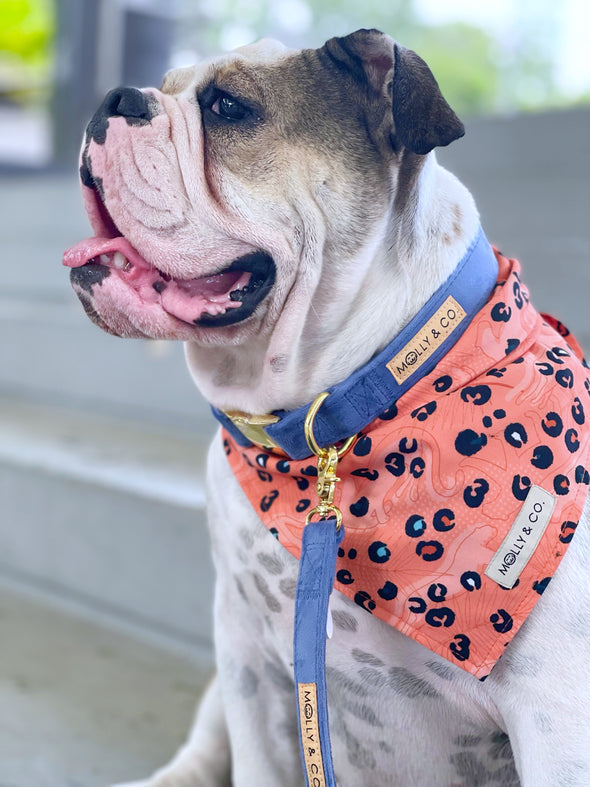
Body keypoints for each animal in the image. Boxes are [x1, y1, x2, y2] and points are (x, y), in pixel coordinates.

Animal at [65, 29, 590, 787]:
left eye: (229, 107)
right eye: (163, 86)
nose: (116, 98)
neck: (324, 428)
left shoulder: (557, 719)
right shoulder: (246, 658)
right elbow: (252, 757)